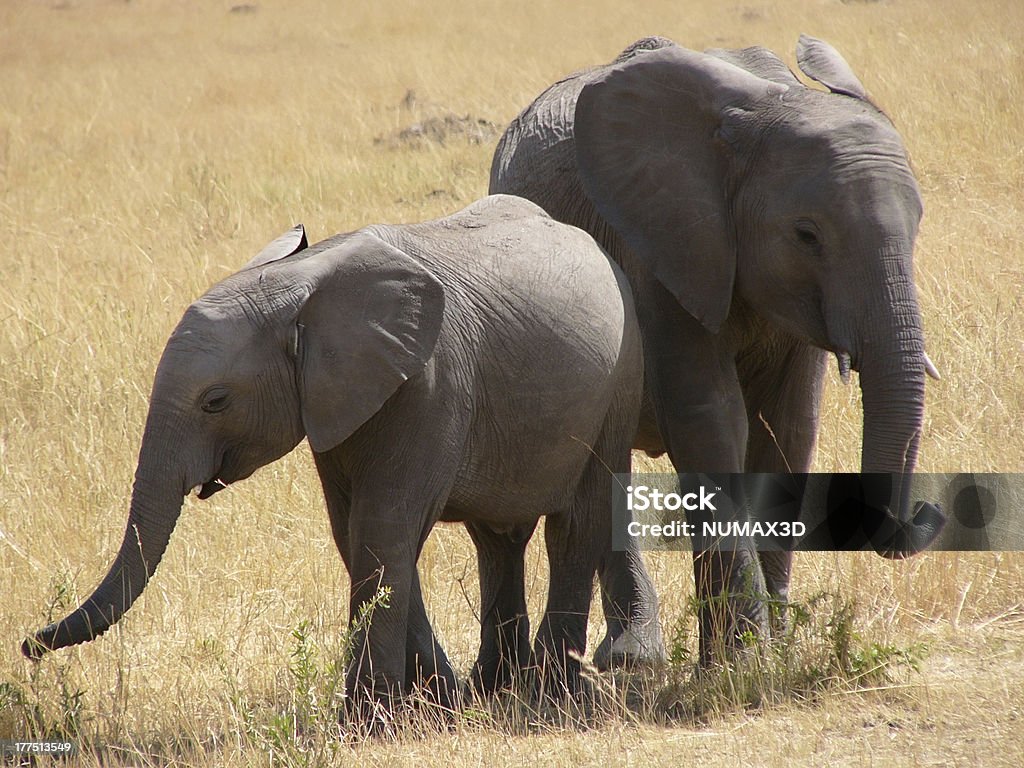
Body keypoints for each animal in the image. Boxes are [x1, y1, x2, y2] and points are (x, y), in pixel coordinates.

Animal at [25, 193, 663, 720]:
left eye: (216, 401)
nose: (30, 644)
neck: (301, 285)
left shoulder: (429, 385)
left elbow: (383, 527)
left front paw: (368, 722)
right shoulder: (337, 402)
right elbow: (353, 532)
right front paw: (439, 703)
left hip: (622, 376)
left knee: (576, 522)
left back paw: (553, 692)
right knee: (497, 538)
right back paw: (495, 687)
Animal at [491, 34, 946, 663]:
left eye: (920, 222)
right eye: (806, 235)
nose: (928, 512)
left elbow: (788, 430)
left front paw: (772, 655)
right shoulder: (664, 244)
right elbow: (709, 421)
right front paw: (744, 663)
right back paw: (633, 660)